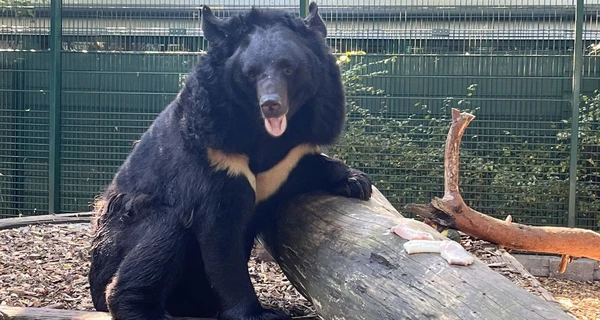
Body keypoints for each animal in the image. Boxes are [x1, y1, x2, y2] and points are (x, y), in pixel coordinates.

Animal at [88, 3, 372, 320]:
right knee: (162, 232)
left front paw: (356, 182)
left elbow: (306, 166)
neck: (262, 132)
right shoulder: (215, 155)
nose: (271, 104)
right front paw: (257, 313)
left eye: (288, 68)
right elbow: (221, 234)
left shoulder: (288, 156)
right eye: (251, 73)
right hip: (119, 234)